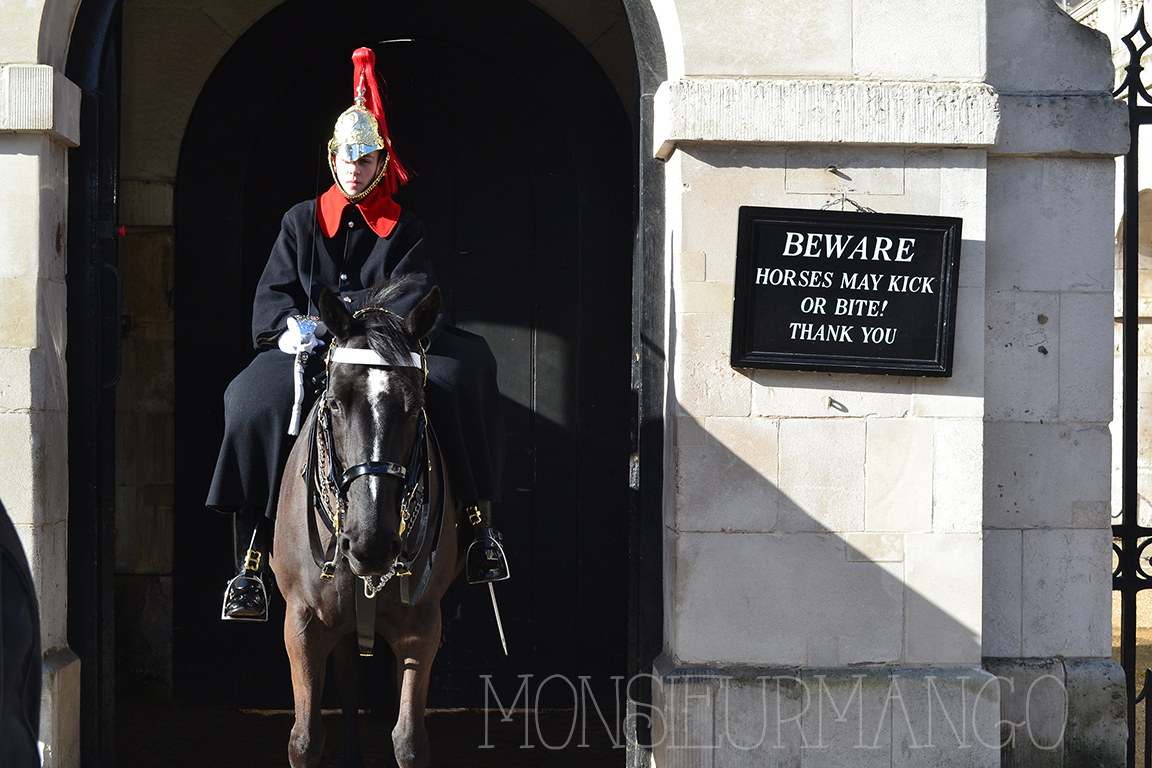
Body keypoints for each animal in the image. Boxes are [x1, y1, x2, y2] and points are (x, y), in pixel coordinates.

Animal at [269, 277, 463, 768]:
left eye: (416, 407)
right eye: (335, 403)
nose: (370, 545)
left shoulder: (422, 625)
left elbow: (410, 741)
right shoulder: (301, 622)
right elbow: (304, 739)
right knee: (349, 677)